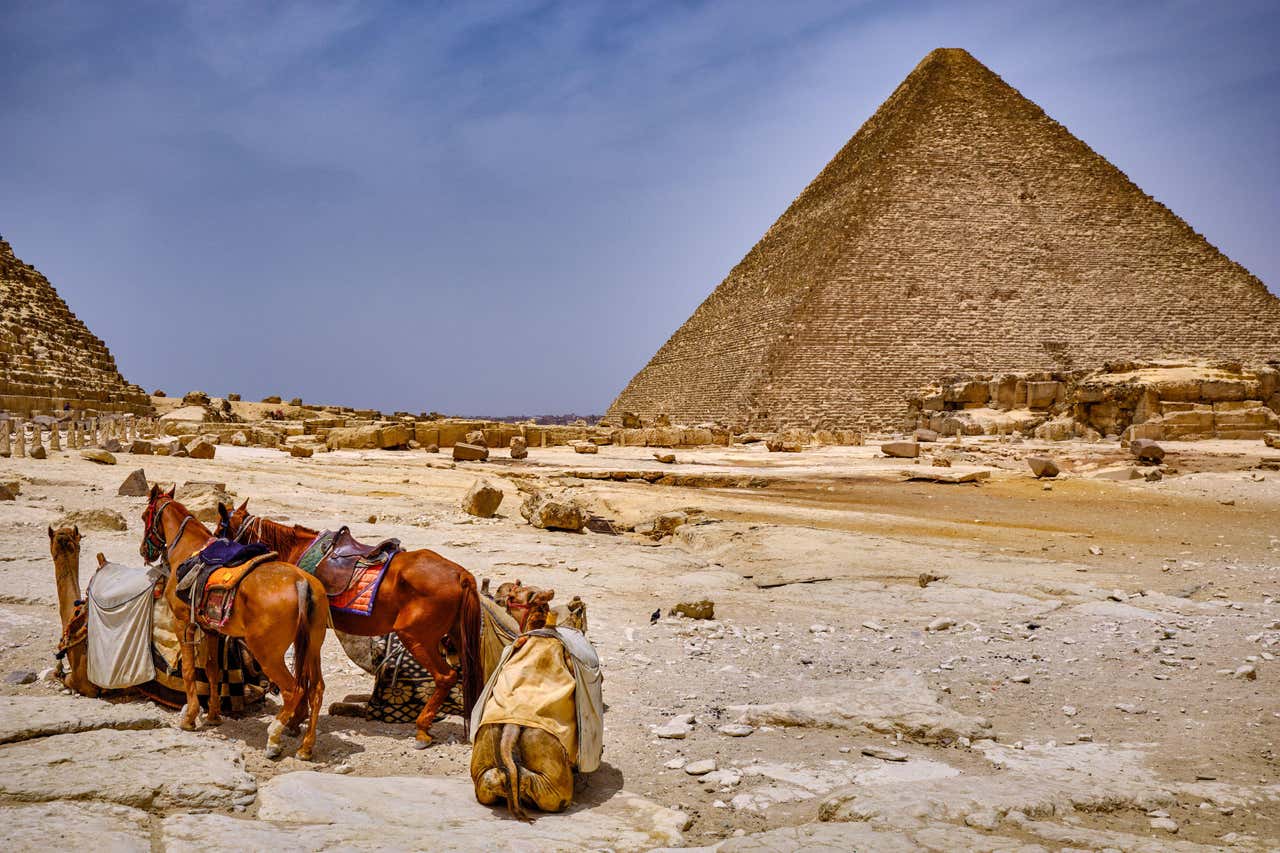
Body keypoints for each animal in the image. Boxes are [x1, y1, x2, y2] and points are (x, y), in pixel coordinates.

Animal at [140, 484, 330, 758]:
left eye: (144, 515)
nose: (143, 551)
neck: (188, 549)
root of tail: (301, 582)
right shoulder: (211, 630)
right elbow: (212, 671)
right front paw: (213, 715)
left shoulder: (183, 624)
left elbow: (188, 671)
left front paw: (190, 718)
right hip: (313, 646)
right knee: (316, 690)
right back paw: (306, 747)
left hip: (267, 653)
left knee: (293, 689)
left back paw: (274, 738)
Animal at [217, 499, 481, 742]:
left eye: (220, 529)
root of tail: (461, 574)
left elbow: (302, 673)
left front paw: (294, 720)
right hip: (455, 636)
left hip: (416, 637)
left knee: (445, 677)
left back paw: (422, 728)